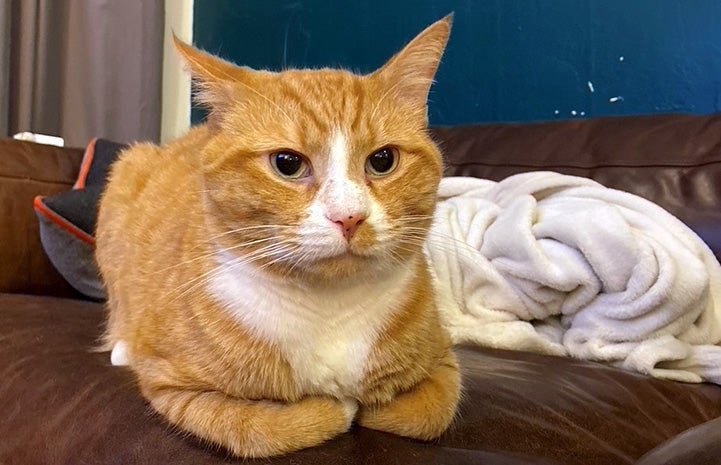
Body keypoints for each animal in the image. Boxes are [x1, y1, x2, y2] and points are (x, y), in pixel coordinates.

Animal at [95, 13, 458, 456]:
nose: (349, 217)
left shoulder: (445, 364)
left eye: (383, 160)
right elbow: (259, 427)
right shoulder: (172, 387)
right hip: (125, 171)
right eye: (287, 163)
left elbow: (426, 413)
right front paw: (335, 407)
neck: (328, 308)